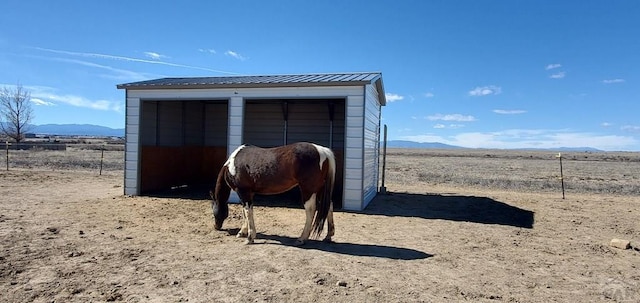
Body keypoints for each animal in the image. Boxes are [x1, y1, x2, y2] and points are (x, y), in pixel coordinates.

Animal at [211, 141, 340, 246]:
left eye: (213, 211)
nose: (216, 226)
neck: (232, 164)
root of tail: (322, 150)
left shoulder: (243, 192)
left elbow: (248, 212)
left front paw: (249, 237)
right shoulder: (248, 193)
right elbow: (245, 212)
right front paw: (242, 232)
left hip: (308, 190)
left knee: (310, 210)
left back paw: (301, 239)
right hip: (320, 189)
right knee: (329, 206)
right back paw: (328, 236)